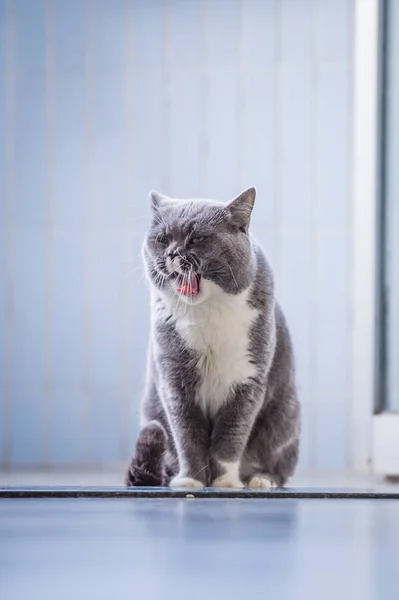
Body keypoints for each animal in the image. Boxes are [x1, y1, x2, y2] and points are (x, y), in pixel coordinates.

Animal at [126, 190, 300, 490]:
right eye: (162, 240)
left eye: (198, 238)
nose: (172, 253)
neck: (207, 312)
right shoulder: (174, 379)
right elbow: (187, 434)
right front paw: (191, 481)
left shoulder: (248, 379)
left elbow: (231, 435)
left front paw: (225, 483)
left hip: (284, 417)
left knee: (279, 465)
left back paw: (261, 479)